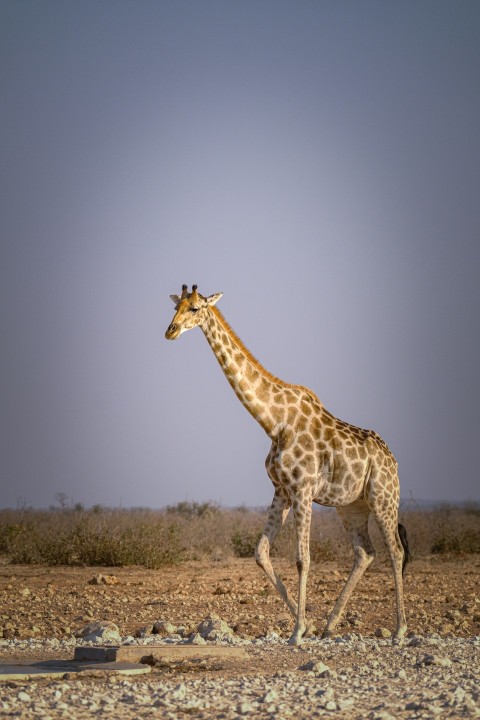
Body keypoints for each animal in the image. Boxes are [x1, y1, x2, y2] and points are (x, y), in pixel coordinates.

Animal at [165, 284, 408, 644]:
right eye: (175, 306)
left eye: (195, 308)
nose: (170, 331)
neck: (274, 422)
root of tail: (392, 459)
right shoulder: (281, 490)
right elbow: (261, 553)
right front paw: (306, 624)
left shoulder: (303, 489)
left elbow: (302, 560)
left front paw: (296, 632)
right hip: (351, 506)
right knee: (365, 552)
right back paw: (330, 625)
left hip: (383, 498)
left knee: (395, 551)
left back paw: (400, 629)